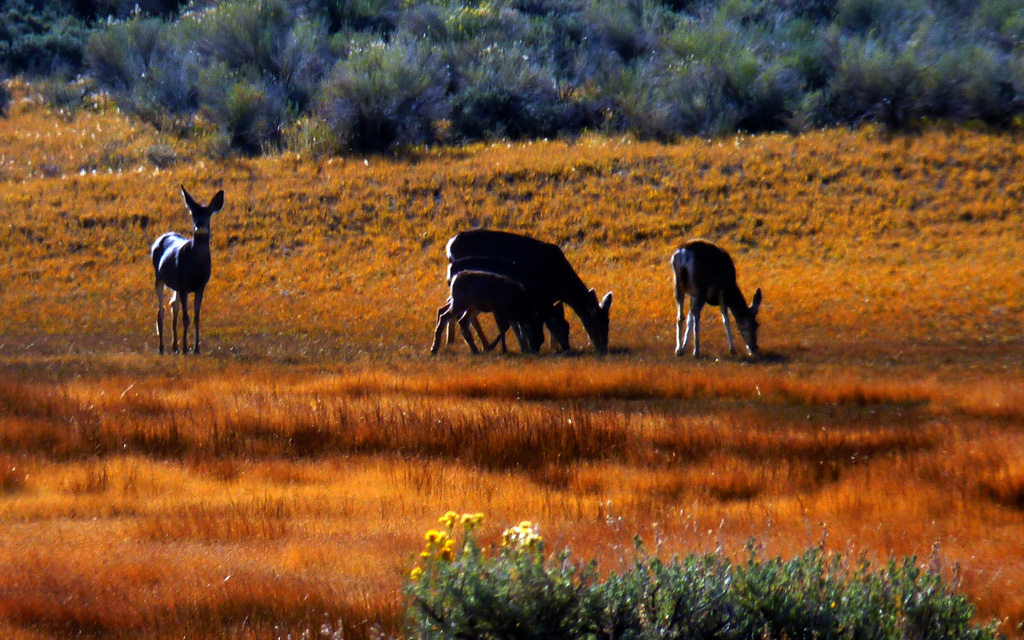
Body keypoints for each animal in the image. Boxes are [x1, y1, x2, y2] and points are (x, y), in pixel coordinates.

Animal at [151, 186, 225, 355]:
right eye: (193, 213)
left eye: (208, 213)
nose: (199, 224)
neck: (196, 266)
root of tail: (162, 236)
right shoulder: (184, 284)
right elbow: (186, 317)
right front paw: (186, 348)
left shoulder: (201, 286)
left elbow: (196, 317)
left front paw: (196, 348)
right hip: (159, 277)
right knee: (161, 310)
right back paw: (162, 348)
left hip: (175, 285)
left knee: (174, 307)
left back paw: (174, 346)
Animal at [445, 229, 612, 353]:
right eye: (599, 324)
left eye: (608, 322)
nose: (603, 347)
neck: (560, 280)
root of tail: (450, 244)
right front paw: (550, 346)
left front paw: (553, 345)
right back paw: (480, 345)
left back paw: (454, 342)